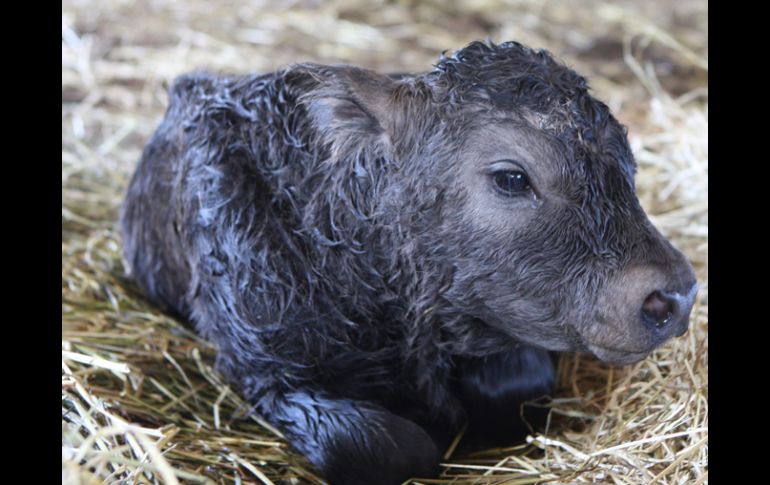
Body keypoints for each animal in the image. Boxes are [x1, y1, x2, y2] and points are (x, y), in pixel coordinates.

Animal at [120, 39, 696, 482]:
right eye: (512, 177)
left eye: (627, 167)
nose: (678, 293)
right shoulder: (264, 369)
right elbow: (391, 447)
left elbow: (521, 388)